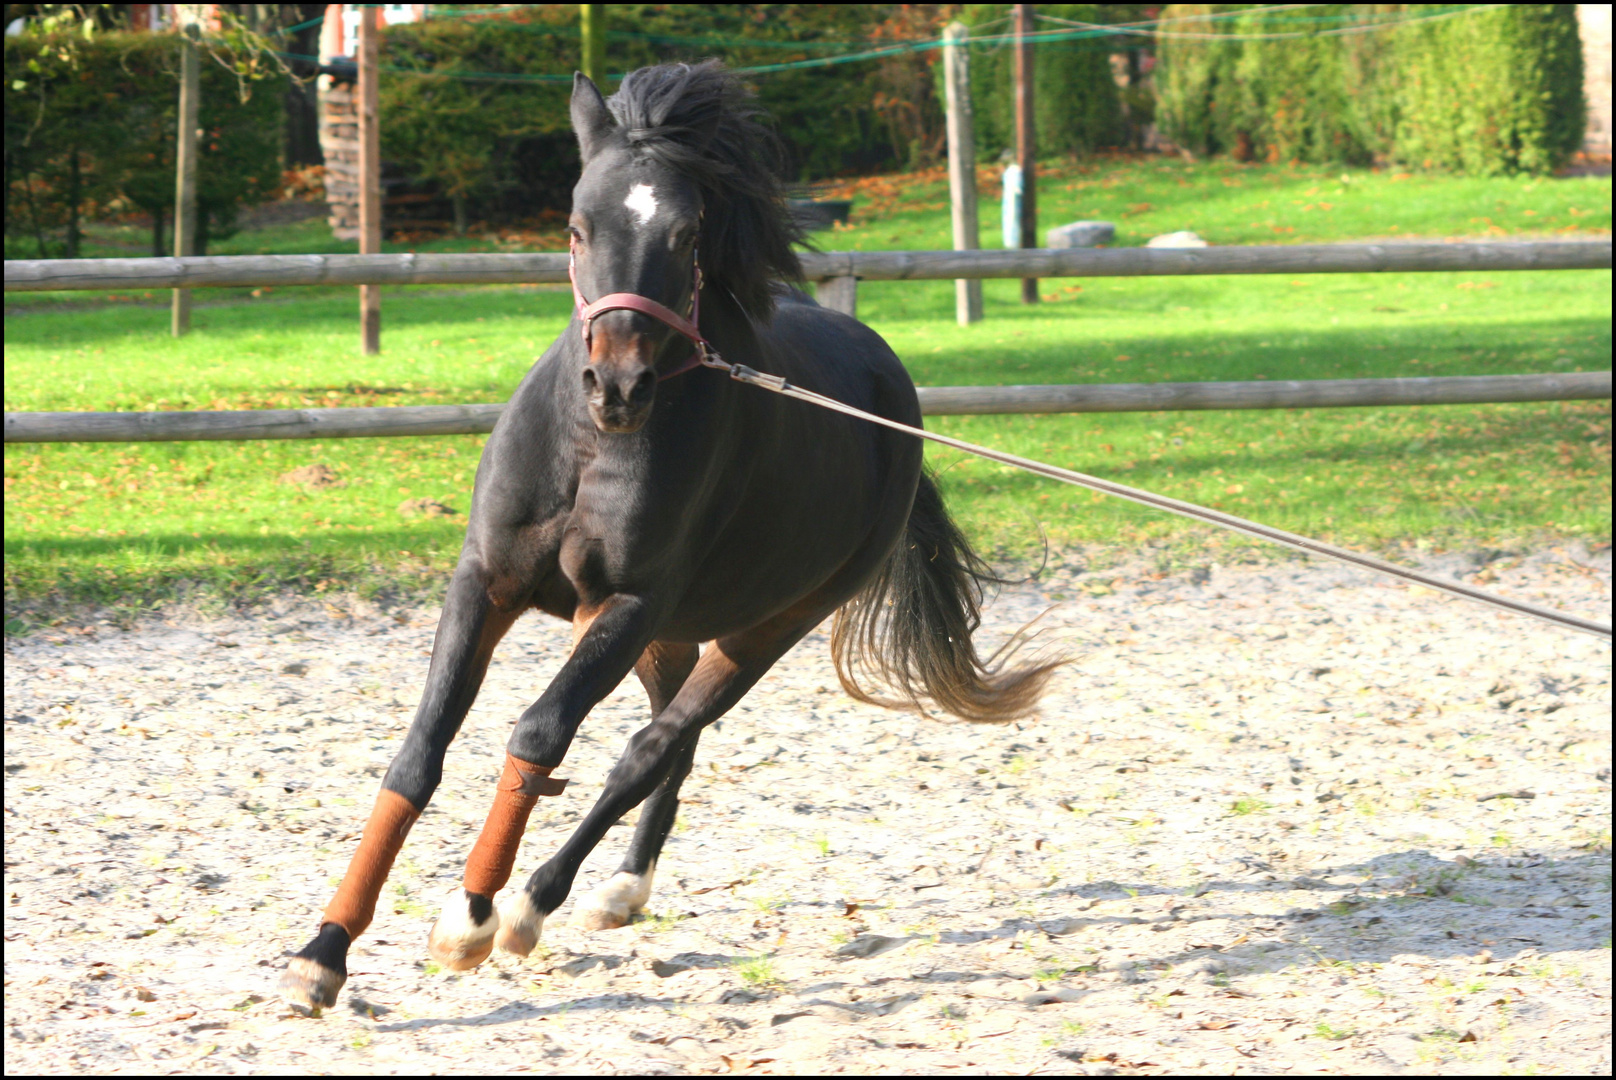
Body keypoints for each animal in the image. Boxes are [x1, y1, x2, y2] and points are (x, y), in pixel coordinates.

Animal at [284, 63, 1060, 1015]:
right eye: (576, 224)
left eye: (686, 230)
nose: (617, 385)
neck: (590, 448)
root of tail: (894, 400)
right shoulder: (489, 584)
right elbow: (418, 755)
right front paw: (323, 951)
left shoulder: (627, 604)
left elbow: (538, 735)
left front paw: (468, 916)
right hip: (670, 637)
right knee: (670, 748)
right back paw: (611, 890)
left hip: (759, 629)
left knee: (648, 752)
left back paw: (540, 904)